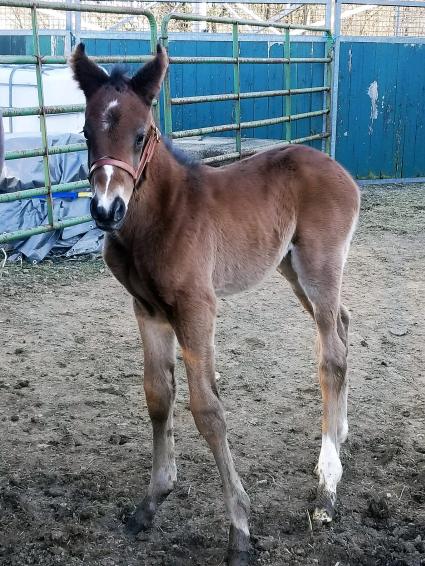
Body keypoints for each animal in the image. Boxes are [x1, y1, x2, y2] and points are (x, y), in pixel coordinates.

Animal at [71, 43, 360, 564]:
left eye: (141, 134)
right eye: (86, 131)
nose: (106, 210)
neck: (161, 215)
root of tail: (340, 170)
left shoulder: (196, 309)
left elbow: (208, 410)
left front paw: (240, 531)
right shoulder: (147, 310)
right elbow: (158, 396)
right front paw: (151, 501)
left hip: (320, 265)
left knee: (331, 355)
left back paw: (328, 486)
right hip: (292, 271)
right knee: (342, 327)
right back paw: (339, 434)